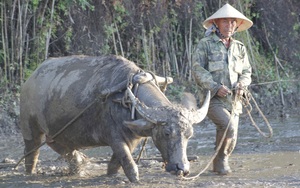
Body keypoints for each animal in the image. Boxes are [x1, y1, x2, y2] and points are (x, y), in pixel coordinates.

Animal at [19, 54, 210, 182]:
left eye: (189, 135)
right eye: (167, 133)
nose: (182, 168)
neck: (126, 98)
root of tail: (30, 80)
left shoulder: (133, 138)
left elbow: (117, 162)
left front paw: (110, 173)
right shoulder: (114, 137)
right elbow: (129, 163)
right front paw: (134, 178)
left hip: (58, 133)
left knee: (59, 145)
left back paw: (78, 164)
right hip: (30, 128)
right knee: (32, 151)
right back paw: (31, 172)